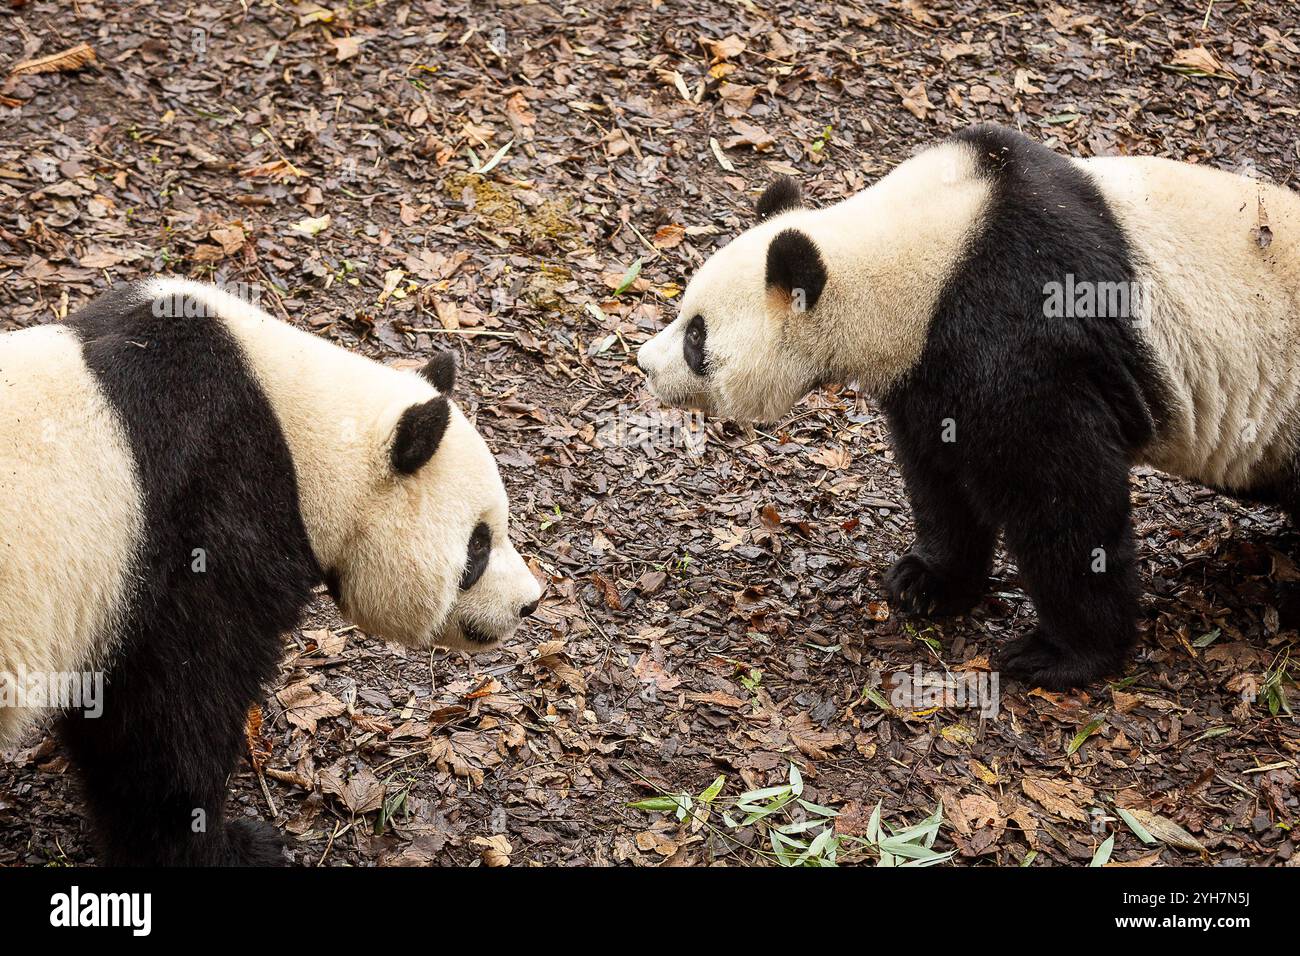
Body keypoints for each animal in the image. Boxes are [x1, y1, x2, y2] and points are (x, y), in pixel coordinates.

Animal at [637, 127, 1300, 691]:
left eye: (696, 337)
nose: (645, 364)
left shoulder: (1026, 334)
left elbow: (1062, 497)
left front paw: (1062, 654)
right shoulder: (929, 371)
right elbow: (940, 475)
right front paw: (927, 583)